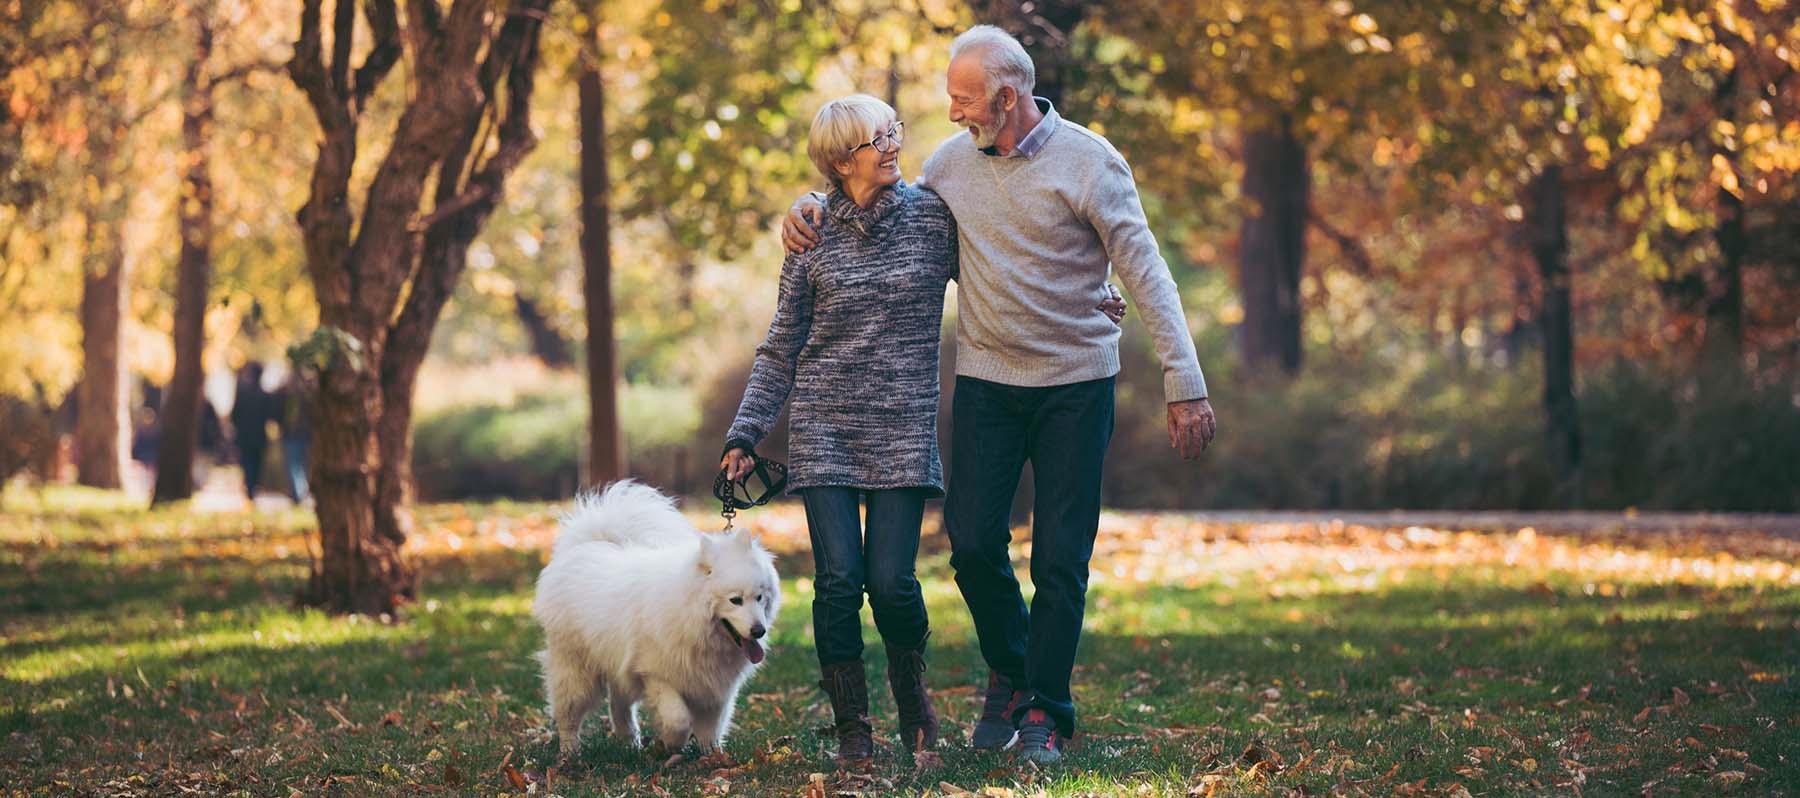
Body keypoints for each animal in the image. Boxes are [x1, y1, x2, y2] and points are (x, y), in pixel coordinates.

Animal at [536, 482, 784, 763]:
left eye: (760, 597)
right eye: (735, 600)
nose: (759, 631)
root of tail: (588, 545)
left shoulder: (715, 689)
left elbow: (711, 729)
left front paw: (712, 758)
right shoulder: (656, 674)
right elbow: (679, 719)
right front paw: (672, 745)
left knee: (619, 707)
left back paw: (630, 744)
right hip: (576, 670)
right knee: (568, 715)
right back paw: (570, 754)